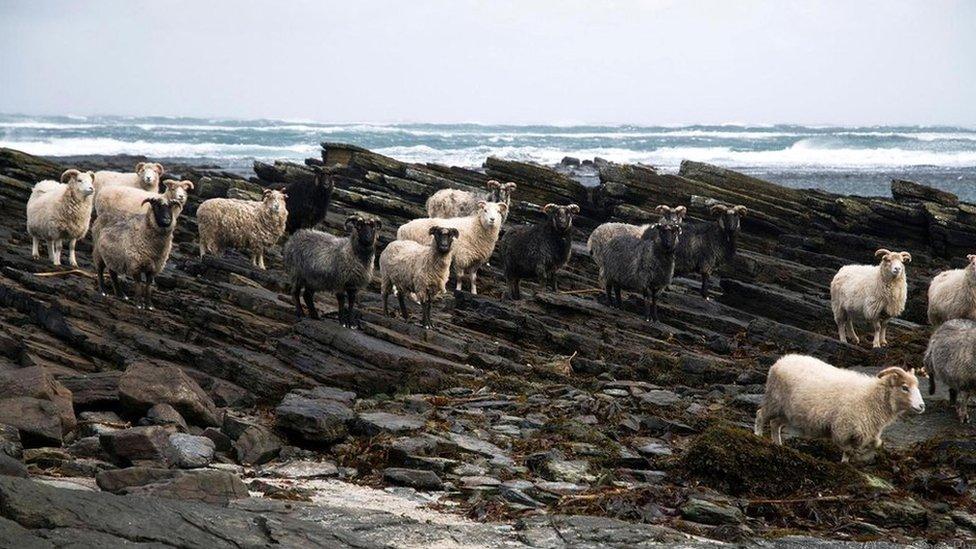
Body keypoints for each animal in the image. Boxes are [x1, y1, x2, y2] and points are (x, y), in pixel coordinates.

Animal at [756, 354, 924, 460]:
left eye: (917, 386)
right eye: (904, 387)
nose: (922, 406)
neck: (871, 397)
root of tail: (781, 360)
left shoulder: (863, 432)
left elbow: (876, 444)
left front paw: (848, 462)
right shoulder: (842, 429)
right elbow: (847, 449)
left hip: (788, 413)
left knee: (775, 424)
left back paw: (778, 445)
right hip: (774, 401)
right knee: (760, 415)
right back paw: (758, 436)